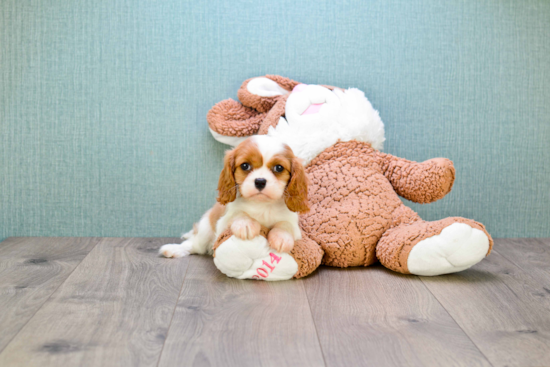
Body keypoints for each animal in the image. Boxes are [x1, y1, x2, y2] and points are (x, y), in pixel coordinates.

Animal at [161, 137, 310, 260]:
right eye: (245, 166)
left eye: (279, 168)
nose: (260, 181)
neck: (261, 204)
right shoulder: (222, 224)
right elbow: (238, 213)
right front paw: (246, 223)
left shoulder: (294, 226)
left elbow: (286, 225)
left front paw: (281, 237)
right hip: (206, 229)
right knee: (194, 245)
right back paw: (174, 249)